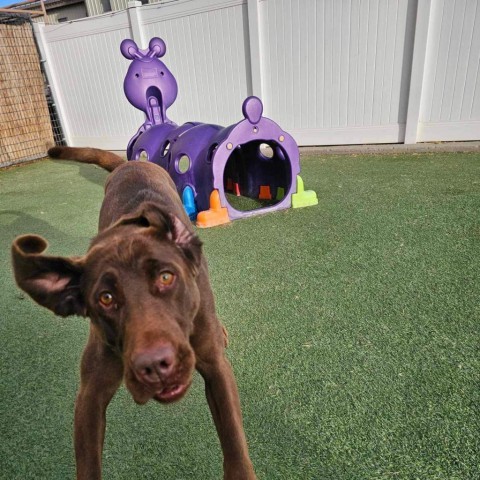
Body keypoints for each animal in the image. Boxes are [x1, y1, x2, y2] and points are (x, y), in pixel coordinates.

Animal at [11, 147, 256, 480]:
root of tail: (129, 164)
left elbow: (233, 442)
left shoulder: (215, 367)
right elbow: (88, 463)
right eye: (106, 298)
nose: (155, 367)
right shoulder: (90, 395)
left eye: (166, 277)